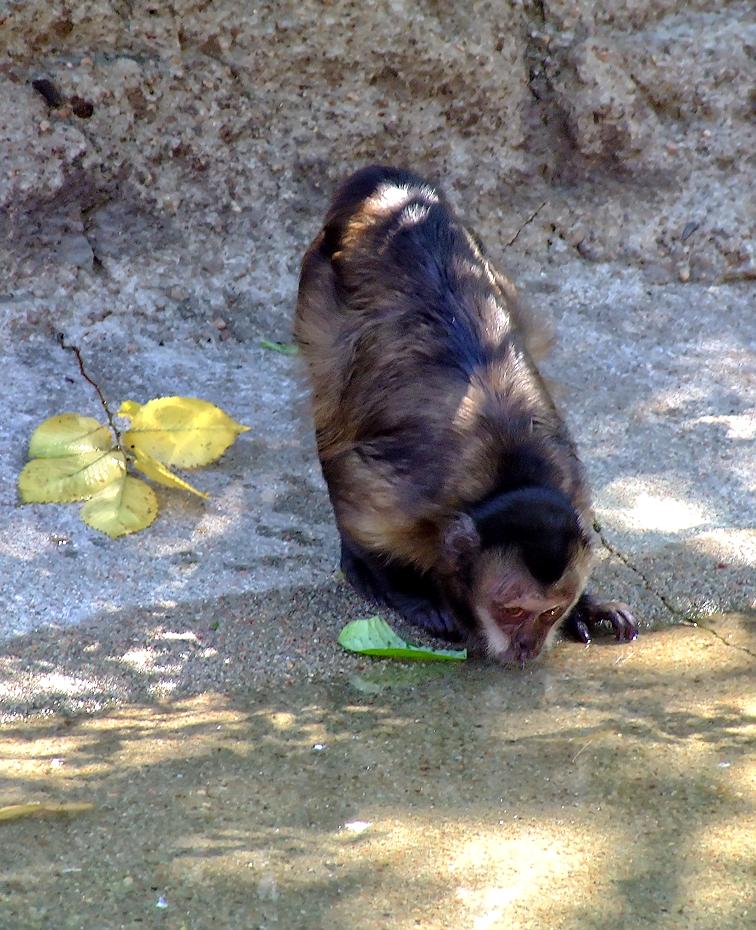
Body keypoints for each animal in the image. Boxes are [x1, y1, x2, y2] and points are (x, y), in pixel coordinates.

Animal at [294, 165, 637, 664]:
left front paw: (586, 607)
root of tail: (389, 188)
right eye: (512, 610)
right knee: (332, 388)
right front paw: (407, 593)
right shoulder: (398, 499)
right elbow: (357, 502)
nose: (527, 648)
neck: (506, 477)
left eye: (549, 612)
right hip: (319, 291)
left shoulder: (574, 488)